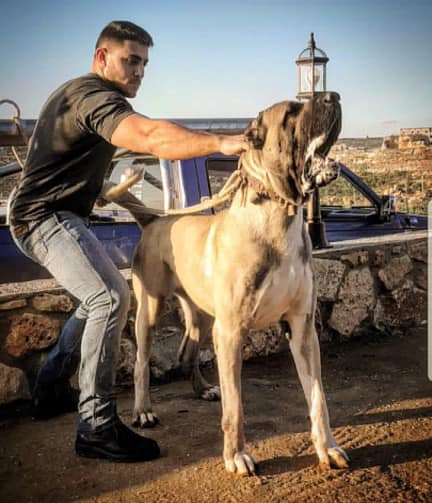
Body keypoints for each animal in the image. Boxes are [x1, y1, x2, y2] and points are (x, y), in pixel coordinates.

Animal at [109, 92, 349, 476]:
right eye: (291, 112)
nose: (333, 96)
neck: (278, 215)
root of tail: (154, 220)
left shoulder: (302, 327)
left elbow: (318, 398)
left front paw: (327, 447)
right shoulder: (232, 330)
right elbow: (235, 407)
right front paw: (236, 456)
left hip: (204, 315)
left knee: (188, 350)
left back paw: (202, 388)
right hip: (151, 309)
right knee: (142, 362)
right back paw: (143, 410)